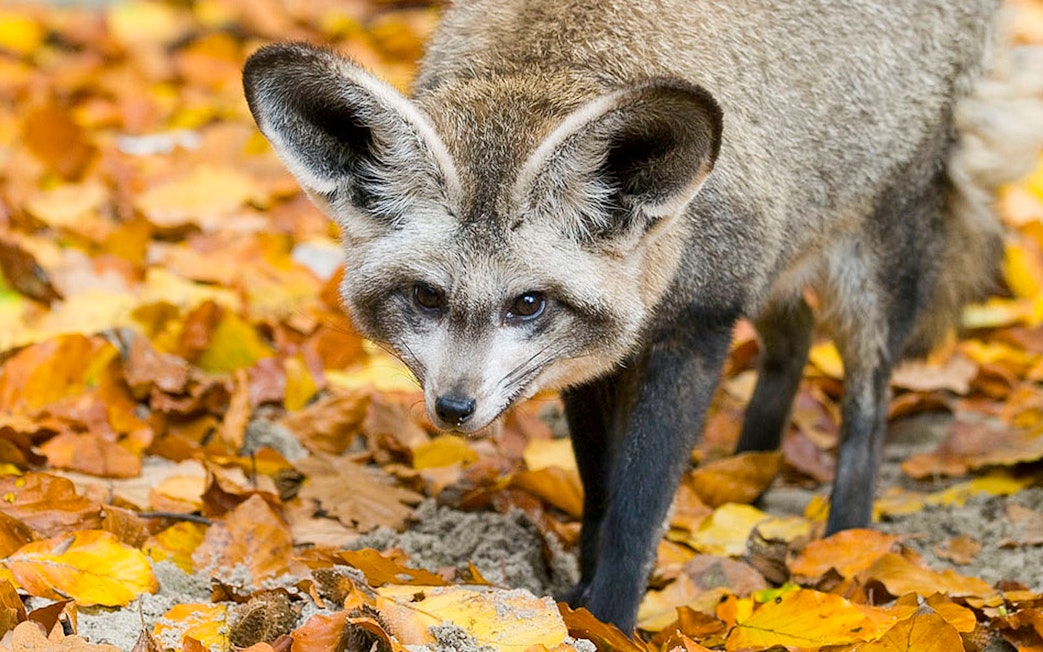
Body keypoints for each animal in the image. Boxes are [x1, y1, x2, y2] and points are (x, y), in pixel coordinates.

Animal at [243, 0, 1043, 633]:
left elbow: (636, 511)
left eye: (526, 303)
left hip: (864, 268)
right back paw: (747, 470)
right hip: (783, 255)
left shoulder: (698, 324)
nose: (454, 408)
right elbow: (600, 498)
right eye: (427, 297)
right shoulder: (597, 359)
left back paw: (849, 541)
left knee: (865, 404)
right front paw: (579, 601)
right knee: (791, 340)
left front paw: (611, 621)